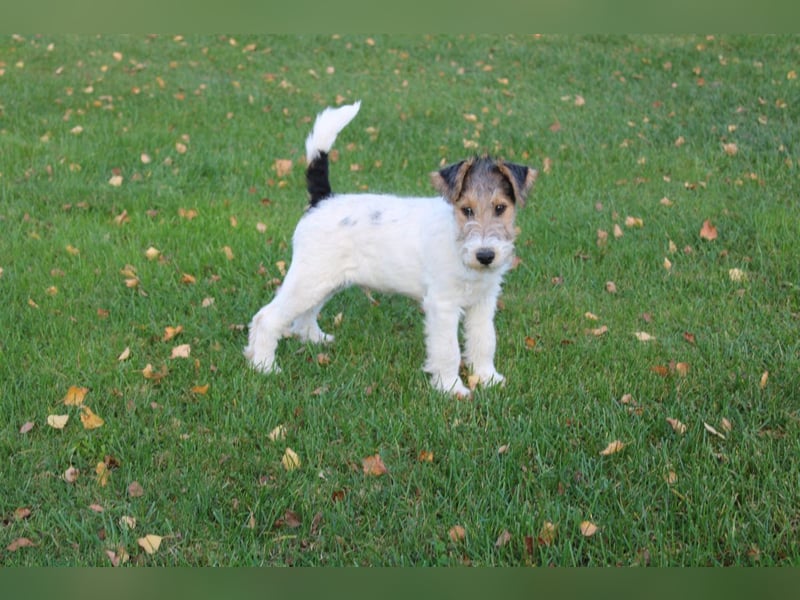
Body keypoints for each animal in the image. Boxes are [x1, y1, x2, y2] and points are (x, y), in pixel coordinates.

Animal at [244, 101, 536, 396]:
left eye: (500, 207)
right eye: (467, 210)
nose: (485, 255)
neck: (458, 241)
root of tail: (322, 199)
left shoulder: (484, 301)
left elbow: (483, 341)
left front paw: (488, 378)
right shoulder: (442, 304)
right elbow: (448, 350)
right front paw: (451, 387)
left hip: (325, 281)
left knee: (304, 315)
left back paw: (312, 339)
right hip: (309, 278)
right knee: (266, 317)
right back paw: (264, 366)